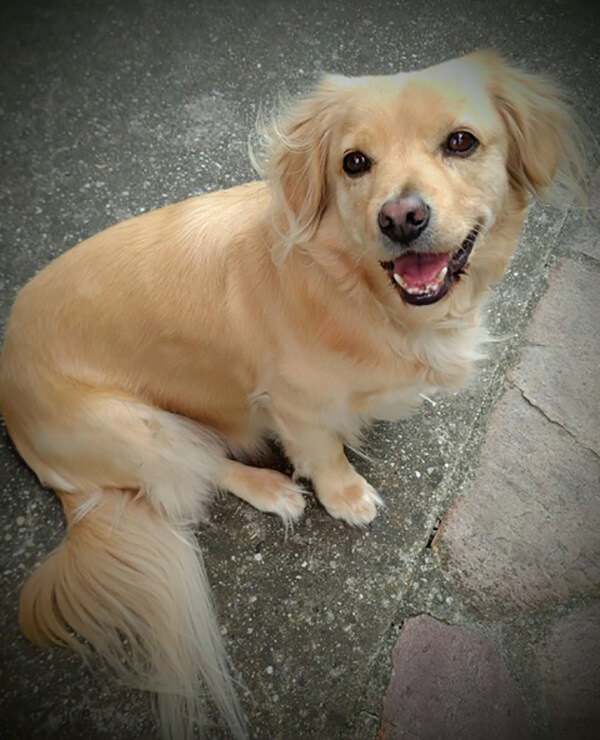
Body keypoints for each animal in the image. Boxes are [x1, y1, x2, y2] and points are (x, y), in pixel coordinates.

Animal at [0, 50, 585, 738]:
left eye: (461, 142)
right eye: (354, 162)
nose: (401, 218)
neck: (359, 291)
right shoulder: (295, 404)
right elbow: (323, 453)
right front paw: (346, 495)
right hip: (134, 426)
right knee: (196, 467)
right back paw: (270, 488)